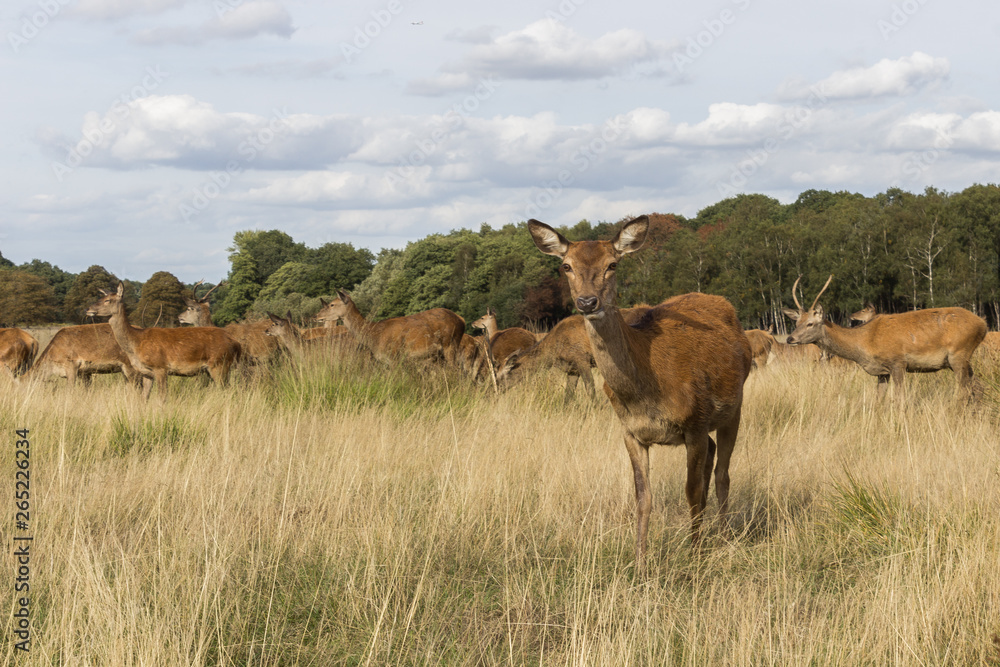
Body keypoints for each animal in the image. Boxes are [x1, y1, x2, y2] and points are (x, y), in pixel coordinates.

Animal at [87, 282, 242, 400]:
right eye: (102, 297)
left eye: (108, 300)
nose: (88, 309)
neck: (136, 342)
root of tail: (235, 343)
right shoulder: (146, 372)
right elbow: (144, 398)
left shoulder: (160, 367)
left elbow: (162, 398)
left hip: (219, 364)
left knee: (229, 391)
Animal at [314, 291, 465, 367]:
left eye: (332, 304)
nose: (316, 316)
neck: (373, 334)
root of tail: (461, 320)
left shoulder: (395, 357)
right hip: (438, 354)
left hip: (451, 345)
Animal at [528, 216, 752, 568]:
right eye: (566, 266)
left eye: (612, 264)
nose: (587, 302)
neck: (646, 392)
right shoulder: (631, 432)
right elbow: (643, 497)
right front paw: (640, 562)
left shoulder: (695, 422)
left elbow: (691, 492)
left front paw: (694, 559)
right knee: (713, 461)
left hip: (734, 407)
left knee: (722, 475)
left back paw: (724, 535)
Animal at [782, 275, 987, 398]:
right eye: (796, 322)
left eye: (810, 323)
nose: (790, 339)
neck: (864, 344)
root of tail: (983, 324)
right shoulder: (882, 372)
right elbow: (878, 400)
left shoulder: (898, 362)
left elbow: (899, 399)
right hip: (960, 360)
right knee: (975, 386)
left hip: (959, 353)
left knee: (964, 391)